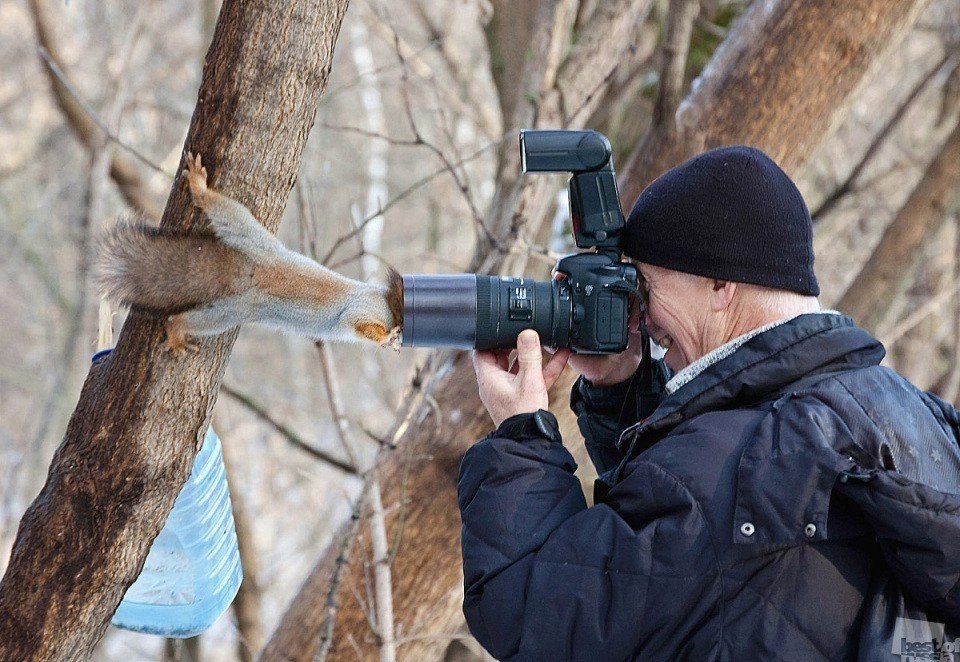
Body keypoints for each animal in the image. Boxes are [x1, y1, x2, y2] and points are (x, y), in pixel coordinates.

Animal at [94, 153, 402, 356]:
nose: (399, 336)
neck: (386, 298)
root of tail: (254, 269)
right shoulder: (367, 306)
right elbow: (356, 322)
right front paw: (388, 337)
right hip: (239, 303)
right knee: (187, 320)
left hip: (248, 242)